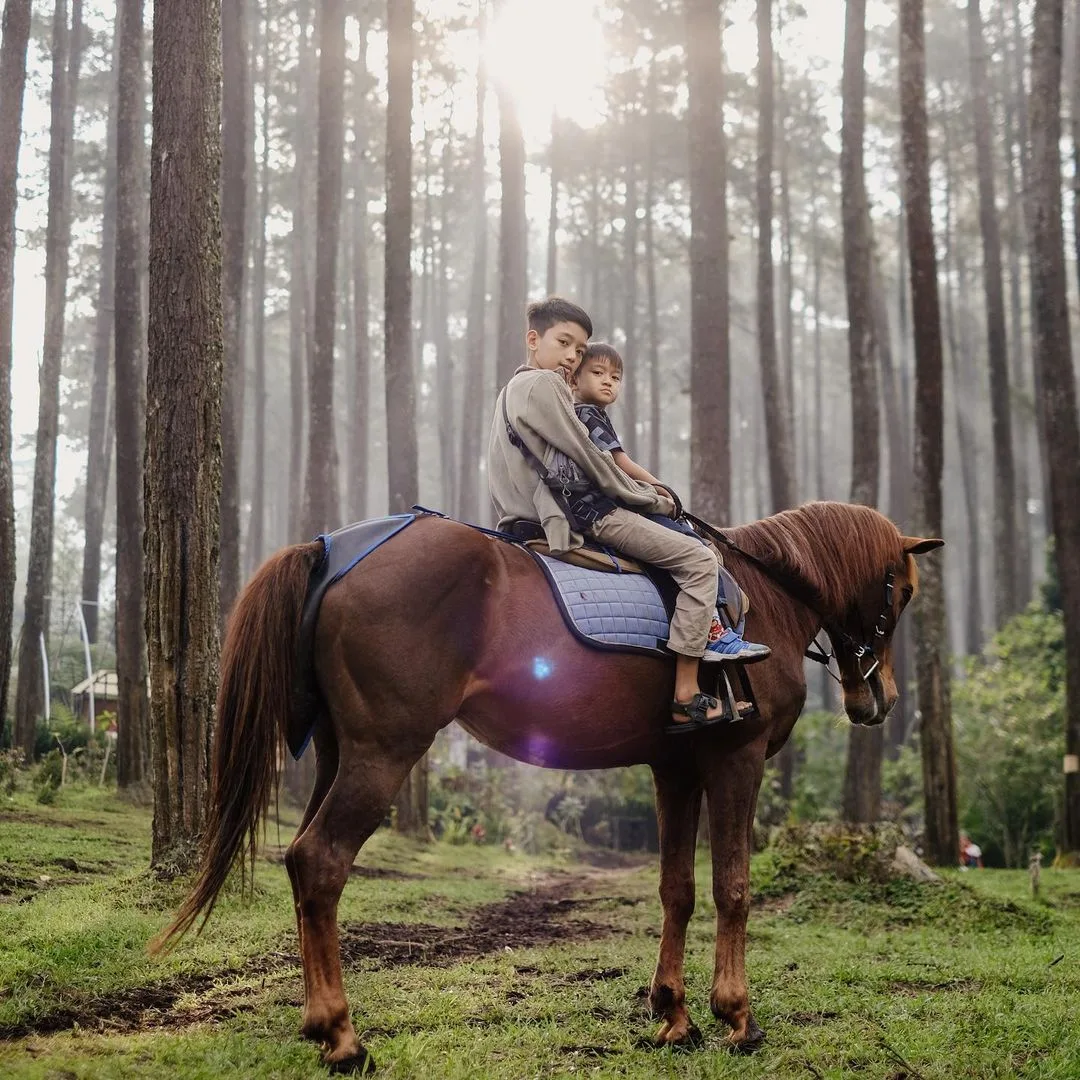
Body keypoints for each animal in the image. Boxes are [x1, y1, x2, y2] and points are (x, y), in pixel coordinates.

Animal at [162, 498, 946, 1071]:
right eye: (902, 594)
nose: (878, 700)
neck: (765, 599)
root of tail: (332, 546)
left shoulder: (675, 769)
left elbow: (677, 890)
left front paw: (674, 1016)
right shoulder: (736, 759)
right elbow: (733, 888)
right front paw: (737, 1017)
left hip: (336, 752)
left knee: (302, 865)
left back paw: (317, 1024)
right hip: (382, 752)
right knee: (321, 861)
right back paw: (342, 1036)